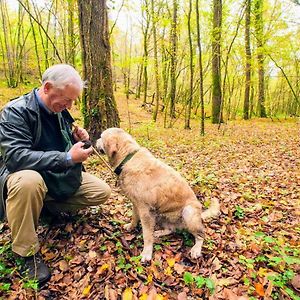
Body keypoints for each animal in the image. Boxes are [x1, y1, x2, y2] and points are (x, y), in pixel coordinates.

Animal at [96, 127, 220, 262]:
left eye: (101, 137)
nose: (94, 141)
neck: (128, 158)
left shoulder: (145, 211)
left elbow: (146, 235)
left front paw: (146, 253)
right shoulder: (136, 203)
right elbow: (134, 217)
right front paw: (131, 226)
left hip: (188, 212)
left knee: (201, 235)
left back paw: (196, 249)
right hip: (160, 214)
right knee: (171, 229)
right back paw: (160, 232)